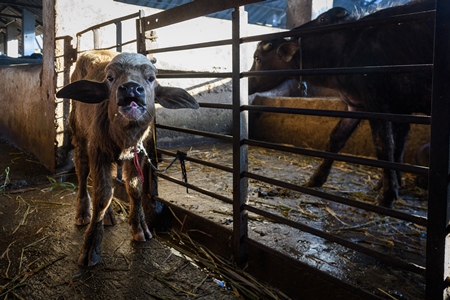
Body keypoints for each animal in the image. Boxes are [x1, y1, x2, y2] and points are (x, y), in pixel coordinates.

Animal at [248, 0, 434, 207]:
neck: (346, 49)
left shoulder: (377, 103)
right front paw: (317, 178)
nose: (247, 82)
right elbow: (338, 137)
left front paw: (387, 194)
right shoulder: (360, 105)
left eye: (257, 58)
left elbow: (385, 146)